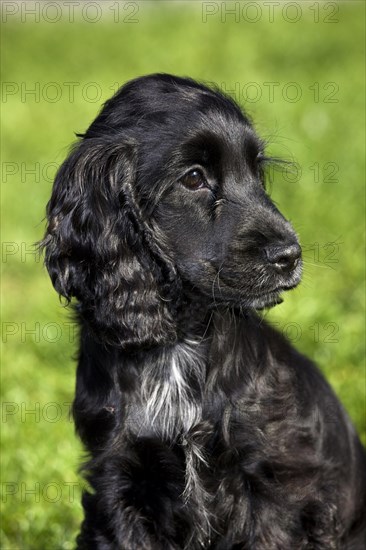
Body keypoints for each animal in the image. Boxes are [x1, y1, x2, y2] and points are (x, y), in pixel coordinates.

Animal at [40, 74, 366, 550]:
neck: (180, 338)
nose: (289, 255)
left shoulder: (279, 484)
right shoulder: (118, 479)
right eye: (194, 178)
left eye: (257, 172)